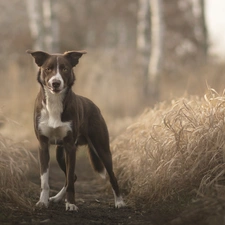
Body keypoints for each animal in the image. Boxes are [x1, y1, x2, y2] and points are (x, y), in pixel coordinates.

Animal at [26, 49, 125, 211]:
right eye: (48, 69)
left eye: (65, 69)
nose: (55, 83)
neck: (54, 102)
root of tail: (94, 106)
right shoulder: (43, 145)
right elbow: (45, 180)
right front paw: (43, 202)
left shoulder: (70, 146)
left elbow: (70, 179)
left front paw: (71, 204)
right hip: (60, 154)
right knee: (71, 177)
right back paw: (57, 198)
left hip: (102, 148)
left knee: (111, 176)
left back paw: (120, 201)